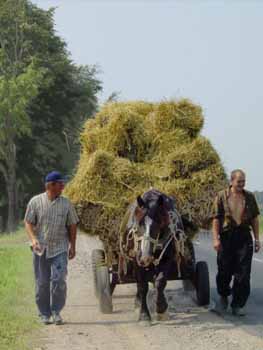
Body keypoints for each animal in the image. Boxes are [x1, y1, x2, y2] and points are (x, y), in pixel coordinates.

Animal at [120, 190, 188, 322]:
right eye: (138, 223)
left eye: (158, 223)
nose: (145, 257)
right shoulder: (136, 260)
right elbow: (142, 286)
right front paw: (144, 315)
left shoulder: (167, 258)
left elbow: (160, 282)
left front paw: (161, 309)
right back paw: (138, 303)